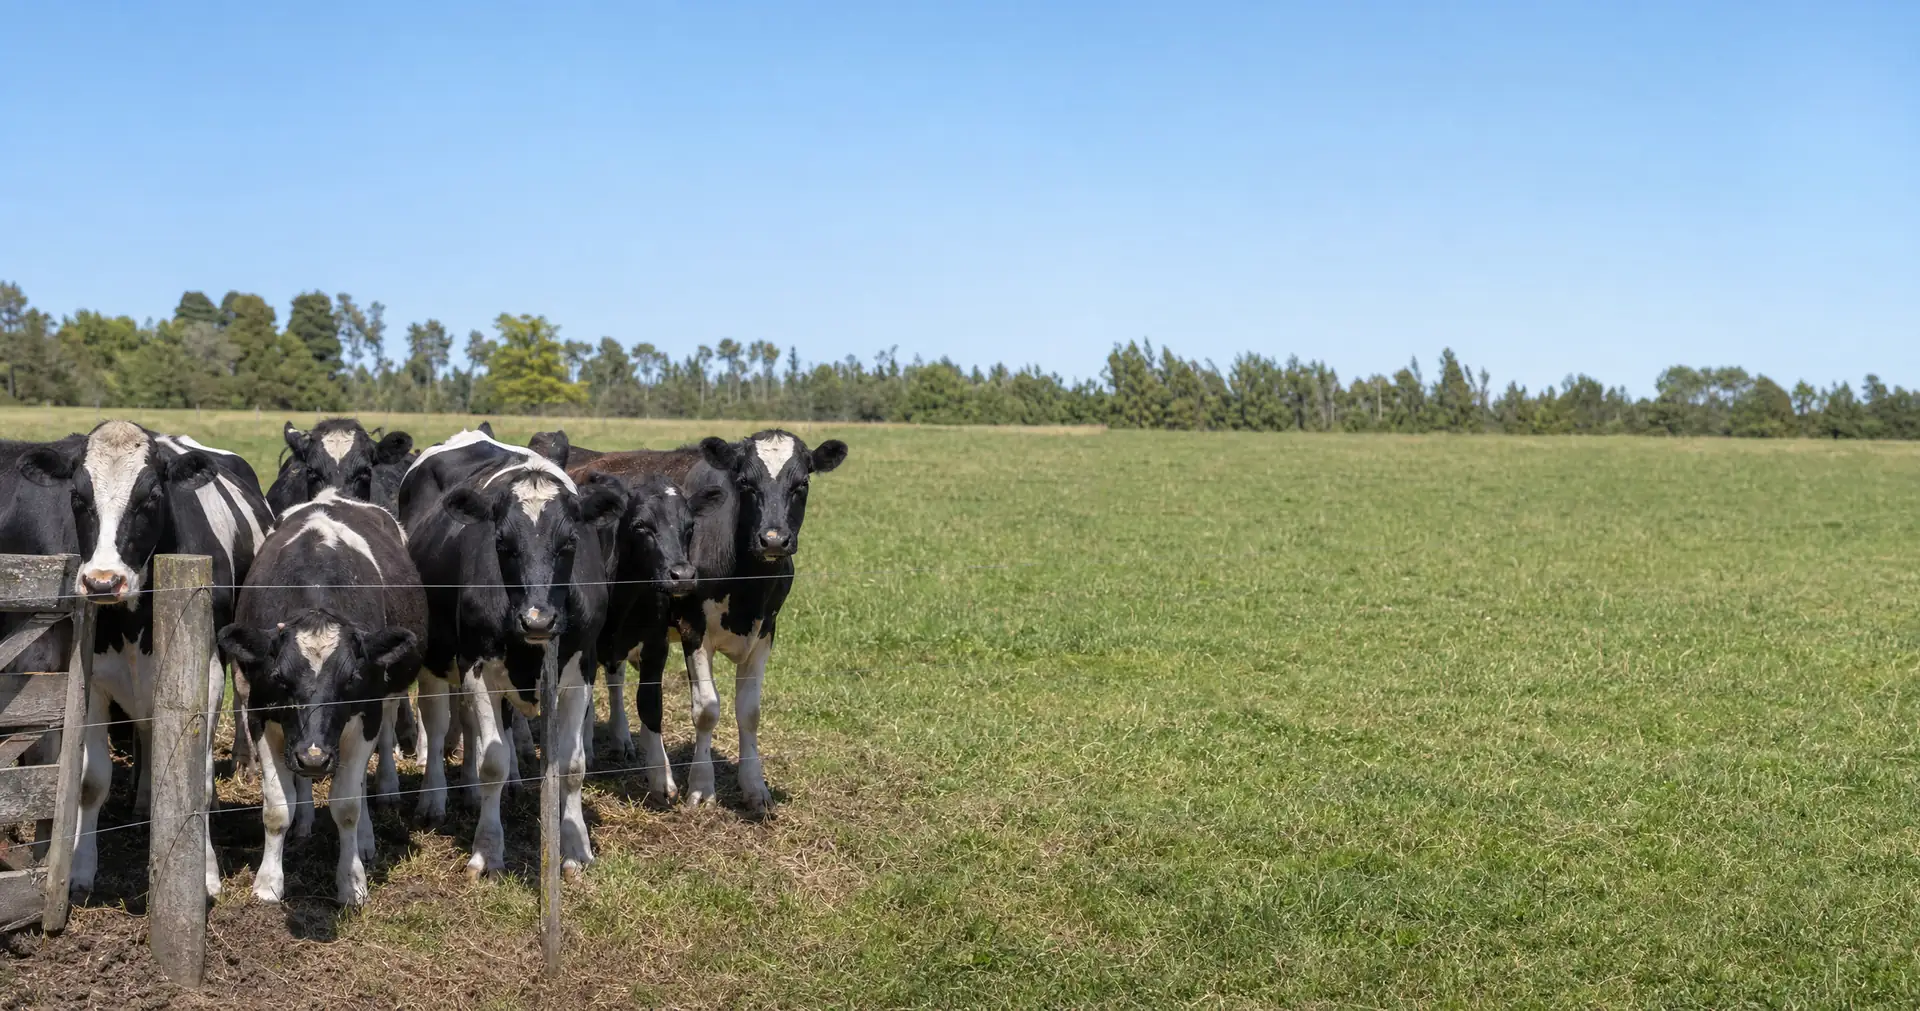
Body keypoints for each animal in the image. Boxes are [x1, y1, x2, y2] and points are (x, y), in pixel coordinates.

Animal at [18, 421, 274, 896]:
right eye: (77, 496)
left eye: (152, 496)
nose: (103, 582)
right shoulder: (95, 676)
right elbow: (91, 781)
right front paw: (81, 869)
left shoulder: (209, 673)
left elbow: (197, 777)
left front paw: (205, 873)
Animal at [218, 489, 425, 905]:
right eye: (279, 677)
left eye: (352, 679)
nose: (313, 757)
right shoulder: (261, 714)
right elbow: (276, 807)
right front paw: (268, 883)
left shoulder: (366, 714)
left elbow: (346, 804)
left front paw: (352, 882)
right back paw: (305, 820)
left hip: (386, 701)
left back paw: (368, 831)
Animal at [398, 429, 625, 877]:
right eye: (502, 542)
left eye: (570, 541)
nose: (538, 621)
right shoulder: (477, 665)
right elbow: (493, 762)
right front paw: (487, 851)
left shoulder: (581, 667)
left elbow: (571, 765)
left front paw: (575, 846)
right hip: (437, 656)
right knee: (436, 722)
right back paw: (434, 799)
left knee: (471, 723)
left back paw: (474, 790)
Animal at [571, 429, 847, 812]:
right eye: (744, 482)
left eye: (802, 483)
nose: (773, 540)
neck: (748, 586)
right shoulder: (694, 629)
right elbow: (706, 709)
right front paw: (701, 788)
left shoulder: (766, 631)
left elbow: (749, 711)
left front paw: (755, 787)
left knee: (614, 675)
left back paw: (622, 739)